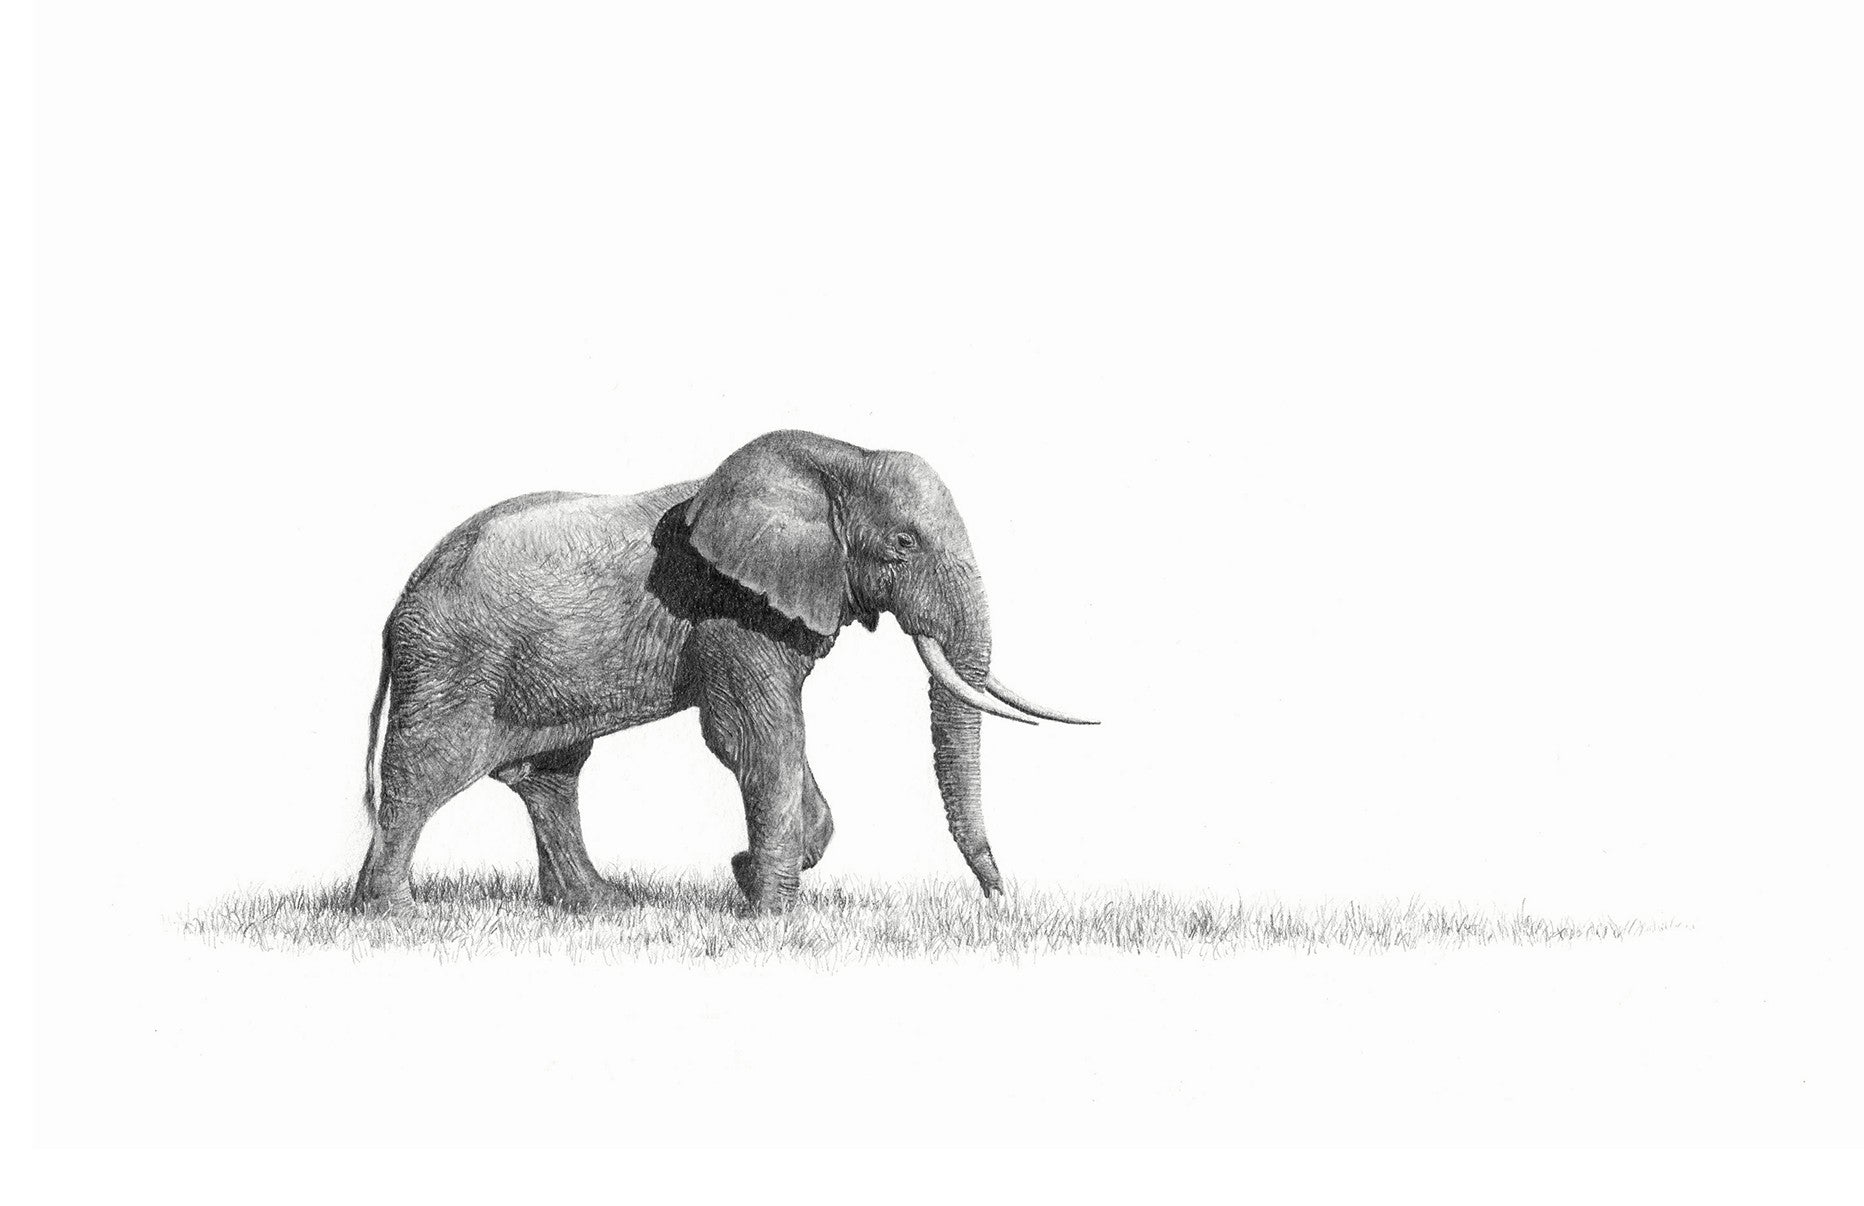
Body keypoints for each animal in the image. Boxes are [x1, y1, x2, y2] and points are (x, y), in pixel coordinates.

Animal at [352, 429, 1094, 913]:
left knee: (551, 777)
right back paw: (393, 916)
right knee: (425, 772)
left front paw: (746, 877)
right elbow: (755, 735)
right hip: (452, 661)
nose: (1001, 904)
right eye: (903, 544)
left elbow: (773, 739)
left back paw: (602, 906)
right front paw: (774, 916)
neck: (835, 460)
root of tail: (401, 597)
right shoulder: (729, 611)